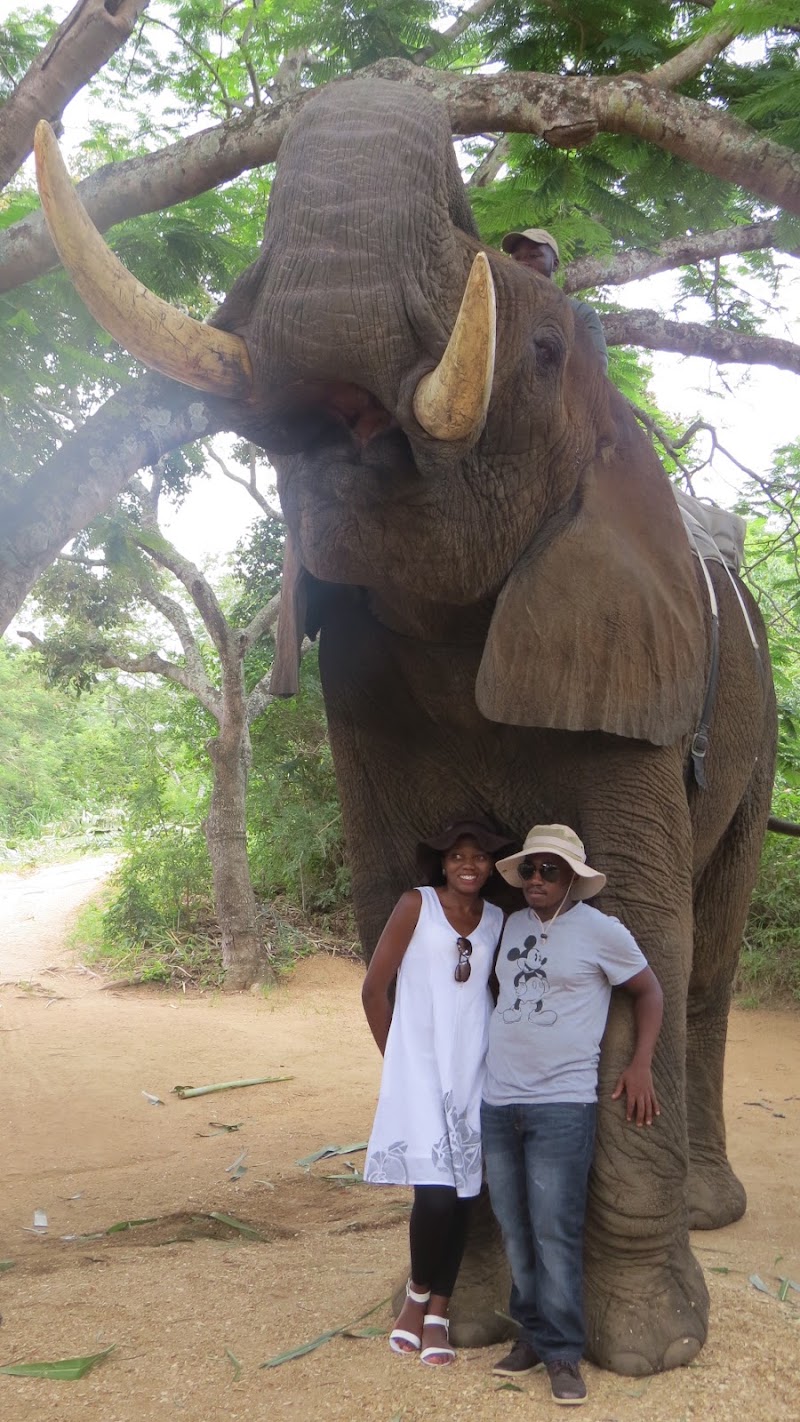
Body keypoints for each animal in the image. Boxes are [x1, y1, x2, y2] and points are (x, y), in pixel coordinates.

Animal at [34, 76, 777, 1376]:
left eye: (541, 352)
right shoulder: (359, 683)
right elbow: (392, 895)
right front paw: (466, 1319)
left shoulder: (632, 664)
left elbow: (639, 923)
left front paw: (647, 1349)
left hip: (762, 713)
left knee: (707, 956)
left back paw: (707, 1210)